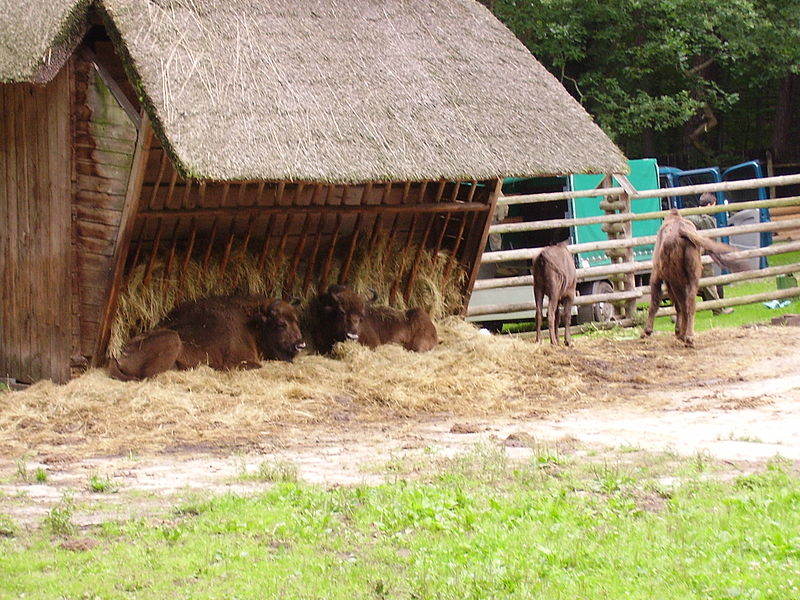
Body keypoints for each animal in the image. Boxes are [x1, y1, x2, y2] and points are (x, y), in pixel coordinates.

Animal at [109, 294, 304, 380]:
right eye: (280, 324)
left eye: (296, 320)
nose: (300, 344)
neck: (252, 323)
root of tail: (118, 355)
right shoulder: (239, 362)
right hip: (172, 338)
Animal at [636, 210, 744, 346]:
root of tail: (682, 231)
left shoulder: (656, 275)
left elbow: (655, 302)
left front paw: (647, 331)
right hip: (692, 277)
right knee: (690, 303)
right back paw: (688, 336)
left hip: (675, 280)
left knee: (682, 304)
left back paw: (684, 335)